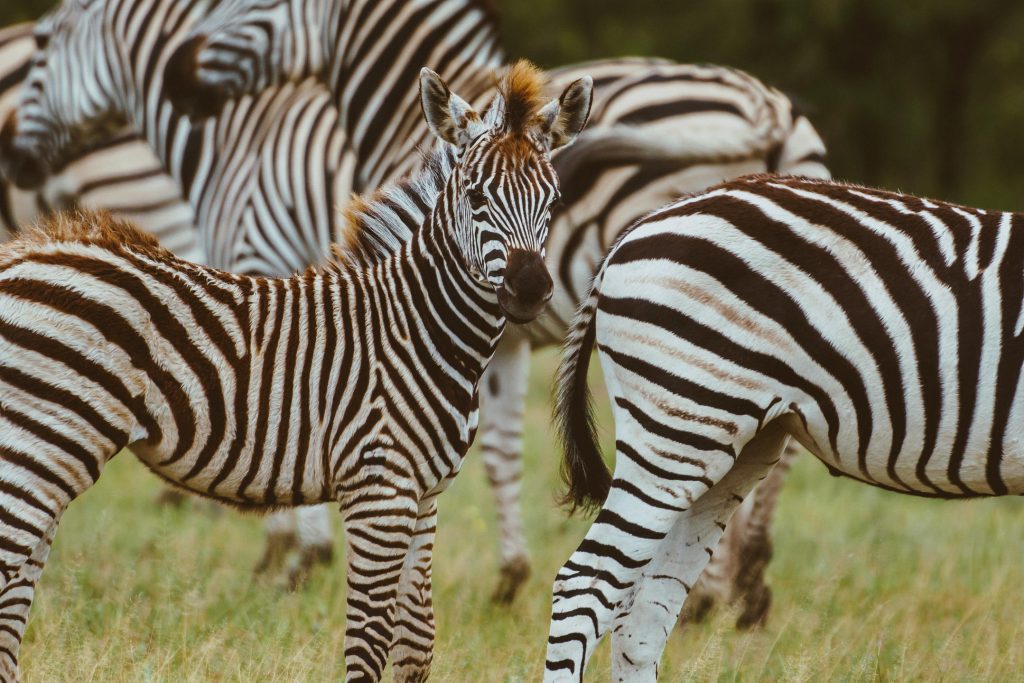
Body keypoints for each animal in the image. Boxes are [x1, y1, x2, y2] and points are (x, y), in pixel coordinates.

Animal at [0, 60, 593, 683]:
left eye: (553, 199)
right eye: (476, 196)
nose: (530, 291)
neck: (416, 327)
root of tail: (23, 255)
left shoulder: (424, 495)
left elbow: (416, 644)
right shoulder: (378, 491)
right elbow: (368, 639)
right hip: (42, 445)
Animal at [161, 0, 831, 610]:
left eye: (248, 1)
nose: (177, 73)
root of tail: (767, 106)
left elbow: (482, 449)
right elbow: (502, 449)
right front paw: (509, 574)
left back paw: (712, 593)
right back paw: (749, 584)